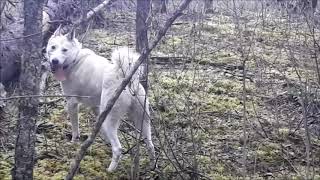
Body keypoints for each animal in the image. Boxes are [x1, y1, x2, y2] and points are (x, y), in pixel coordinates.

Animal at [45, 26, 155, 172]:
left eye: (64, 50)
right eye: (53, 47)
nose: (54, 61)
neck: (75, 60)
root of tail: (126, 78)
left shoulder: (72, 103)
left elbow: (75, 128)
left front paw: (74, 141)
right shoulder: (97, 108)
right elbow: (101, 129)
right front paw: (105, 140)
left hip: (111, 118)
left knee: (118, 148)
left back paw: (110, 170)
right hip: (142, 119)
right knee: (150, 144)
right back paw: (153, 166)